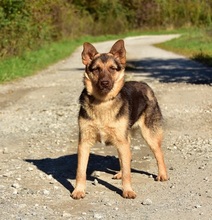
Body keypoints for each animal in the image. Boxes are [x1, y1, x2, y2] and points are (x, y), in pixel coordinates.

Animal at [72, 39, 168, 199]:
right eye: (96, 69)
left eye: (112, 68)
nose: (105, 83)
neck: (103, 102)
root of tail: (144, 84)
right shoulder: (84, 142)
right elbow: (80, 171)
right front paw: (78, 190)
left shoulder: (122, 141)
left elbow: (129, 173)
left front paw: (128, 190)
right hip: (124, 139)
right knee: (127, 158)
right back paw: (120, 173)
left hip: (149, 136)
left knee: (158, 154)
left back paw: (162, 174)